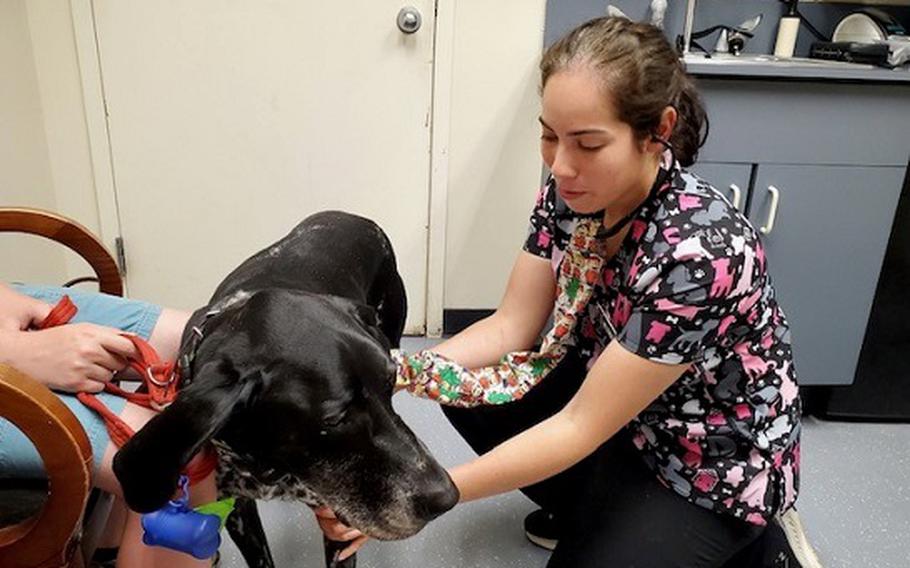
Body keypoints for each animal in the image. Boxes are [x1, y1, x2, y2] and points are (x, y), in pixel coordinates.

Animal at [113, 211, 460, 564]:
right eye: (335, 419)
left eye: (389, 384)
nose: (447, 496)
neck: (269, 462)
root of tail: (355, 217)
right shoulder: (238, 510)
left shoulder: (338, 524)